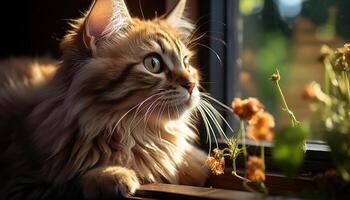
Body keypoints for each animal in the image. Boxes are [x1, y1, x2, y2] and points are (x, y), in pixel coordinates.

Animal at [0, 0, 211, 199]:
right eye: (153, 63)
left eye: (186, 63)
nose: (192, 85)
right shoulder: (23, 182)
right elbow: (70, 181)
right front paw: (110, 174)